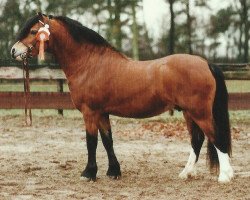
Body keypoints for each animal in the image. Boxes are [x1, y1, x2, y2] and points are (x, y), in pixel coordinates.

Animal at [11, 13, 234, 184]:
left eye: (33, 32)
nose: (14, 51)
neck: (89, 64)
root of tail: (206, 63)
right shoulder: (102, 113)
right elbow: (107, 141)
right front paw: (113, 172)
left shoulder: (90, 112)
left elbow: (91, 142)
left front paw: (88, 173)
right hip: (189, 112)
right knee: (197, 140)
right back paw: (186, 173)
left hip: (200, 113)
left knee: (216, 137)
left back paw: (225, 176)